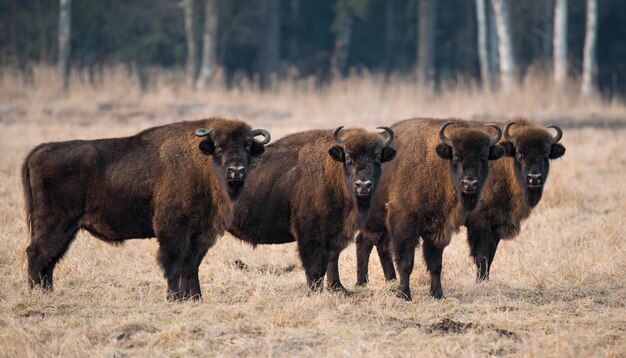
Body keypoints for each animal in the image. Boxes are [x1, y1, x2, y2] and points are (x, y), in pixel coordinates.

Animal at [20, 117, 270, 300]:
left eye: (248, 145)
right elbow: (173, 263)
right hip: (55, 224)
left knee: (50, 258)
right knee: (37, 253)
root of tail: (38, 151)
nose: (236, 170)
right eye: (218, 146)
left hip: (67, 229)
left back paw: (47, 292)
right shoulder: (173, 230)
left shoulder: (202, 234)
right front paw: (175, 298)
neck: (202, 160)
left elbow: (192, 266)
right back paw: (36, 293)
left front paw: (195, 298)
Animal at [228, 126, 394, 290]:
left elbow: (331, 261)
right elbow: (314, 266)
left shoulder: (335, 235)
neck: (333, 173)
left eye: (377, 157)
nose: (363, 185)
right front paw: (316, 290)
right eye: (347, 157)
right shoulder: (310, 234)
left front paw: (338, 288)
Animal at [352, 118, 502, 300]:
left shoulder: (438, 231)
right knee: (364, 242)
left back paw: (386, 280)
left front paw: (437, 294)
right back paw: (362, 283)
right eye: (456, 155)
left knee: (375, 244)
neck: (438, 168)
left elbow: (435, 264)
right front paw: (405, 295)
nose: (470, 183)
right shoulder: (405, 226)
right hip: (373, 223)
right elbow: (406, 263)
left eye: (485, 156)